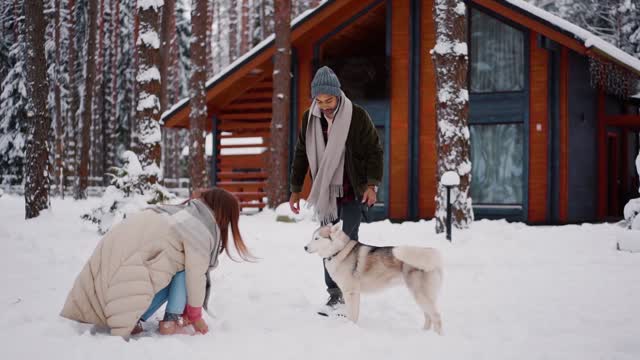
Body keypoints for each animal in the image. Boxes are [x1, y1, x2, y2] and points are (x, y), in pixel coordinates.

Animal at [304, 222, 444, 334]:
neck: (339, 251)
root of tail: (433, 258)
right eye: (312, 237)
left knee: (436, 317)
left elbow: (352, 315)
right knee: (428, 316)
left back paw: (437, 337)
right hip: (420, 296)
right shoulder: (353, 293)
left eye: (316, 238)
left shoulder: (351, 293)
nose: (305, 247)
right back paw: (424, 334)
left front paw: (351, 328)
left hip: (420, 294)